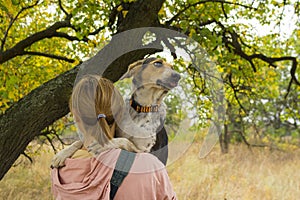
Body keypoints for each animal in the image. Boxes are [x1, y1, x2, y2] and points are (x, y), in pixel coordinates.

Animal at [51, 57, 180, 167]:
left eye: (173, 67)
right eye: (158, 63)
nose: (178, 75)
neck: (141, 108)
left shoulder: (147, 152)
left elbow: (126, 142)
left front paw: (104, 144)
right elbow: (78, 142)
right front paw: (61, 154)